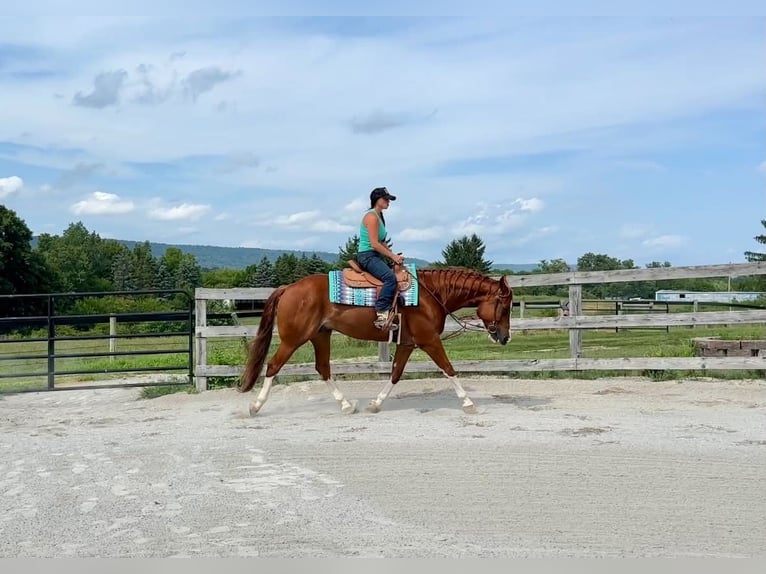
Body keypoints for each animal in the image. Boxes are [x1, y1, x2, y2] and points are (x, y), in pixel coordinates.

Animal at [238, 266, 513, 415]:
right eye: (505, 306)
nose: (505, 337)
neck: (430, 294)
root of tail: (289, 288)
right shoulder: (429, 340)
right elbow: (449, 369)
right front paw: (468, 403)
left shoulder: (407, 343)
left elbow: (395, 373)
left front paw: (375, 404)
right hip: (293, 339)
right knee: (273, 366)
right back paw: (255, 407)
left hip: (320, 335)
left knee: (323, 368)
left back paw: (346, 405)